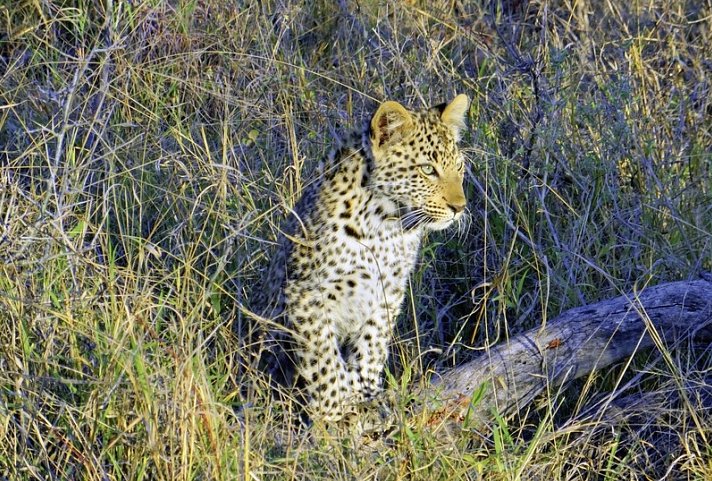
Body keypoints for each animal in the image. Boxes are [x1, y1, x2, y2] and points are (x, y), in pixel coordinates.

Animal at [254, 93, 468, 420]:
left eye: (459, 166)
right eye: (427, 170)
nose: (459, 207)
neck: (386, 223)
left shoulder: (388, 288)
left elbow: (372, 342)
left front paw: (366, 392)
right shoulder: (307, 292)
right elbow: (323, 358)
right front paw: (334, 409)